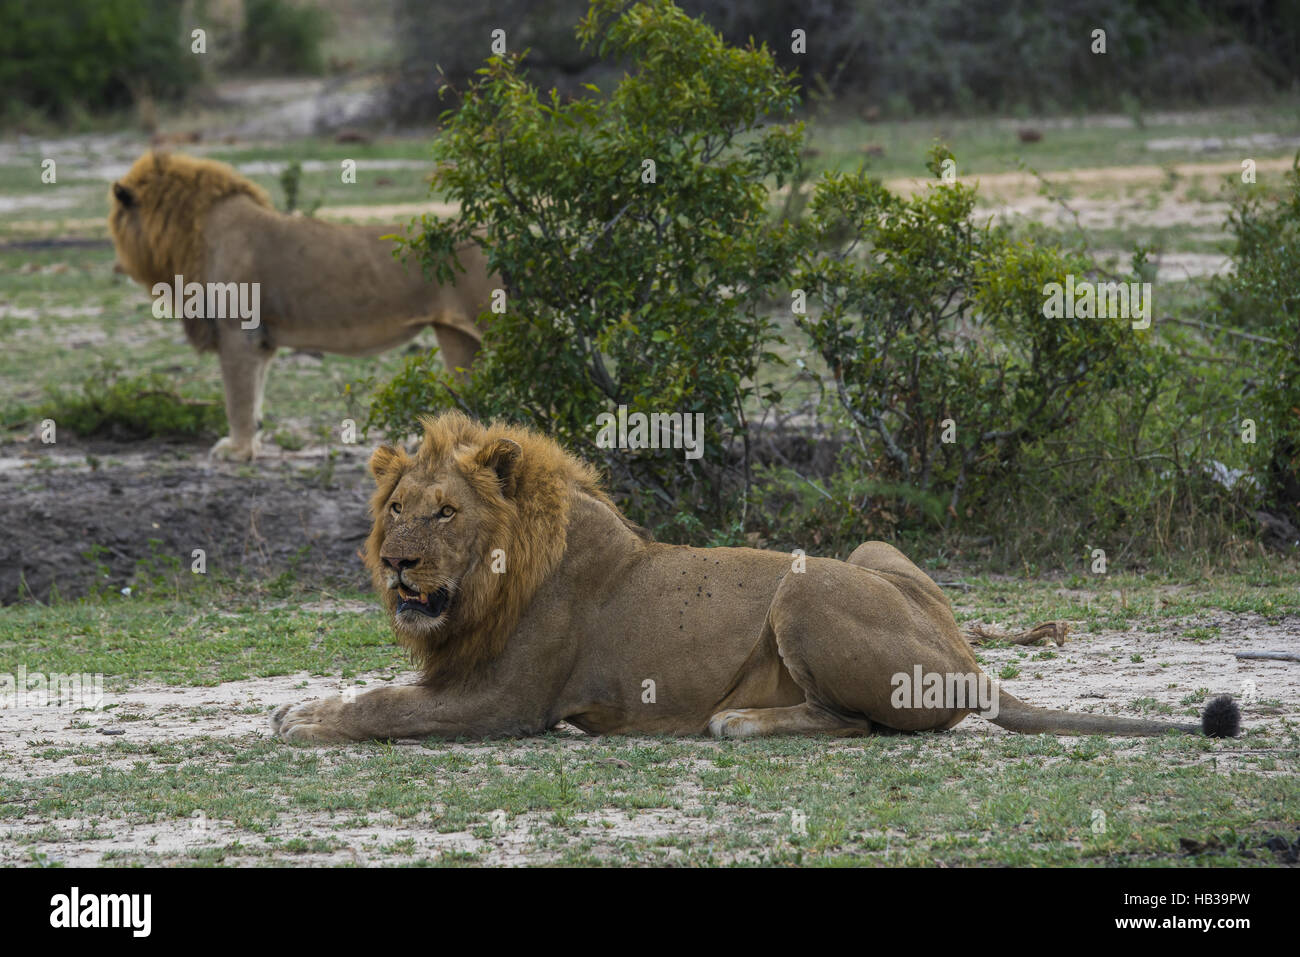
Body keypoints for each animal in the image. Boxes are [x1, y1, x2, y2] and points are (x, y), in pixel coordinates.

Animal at [105, 151, 491, 462]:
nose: (116, 265)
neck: (192, 233)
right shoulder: (260, 340)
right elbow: (255, 396)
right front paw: (251, 446)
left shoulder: (237, 332)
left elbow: (237, 397)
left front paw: (236, 451)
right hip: (456, 336)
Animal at [269, 408, 1242, 738]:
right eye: (398, 507)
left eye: (445, 514)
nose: (396, 562)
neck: (488, 584)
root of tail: (969, 663)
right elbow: (374, 691)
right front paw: (299, 702)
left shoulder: (506, 703)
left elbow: (381, 708)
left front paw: (303, 719)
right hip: (870, 559)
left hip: (807, 585)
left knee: (866, 724)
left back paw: (740, 720)